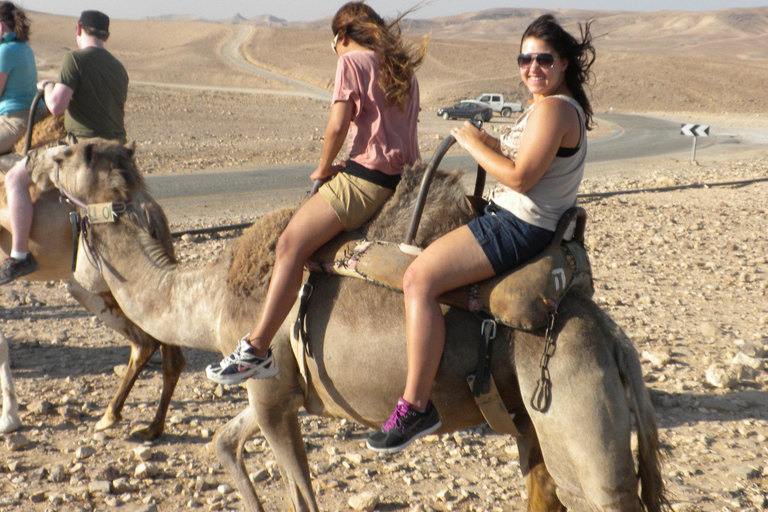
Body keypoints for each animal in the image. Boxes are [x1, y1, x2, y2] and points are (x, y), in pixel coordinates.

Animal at [0, 142, 185, 438]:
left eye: (62, 157)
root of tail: (150, 209)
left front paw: (8, 418)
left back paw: (115, 418)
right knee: (158, 346)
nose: (31, 160)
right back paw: (147, 427)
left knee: (149, 341)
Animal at [48, 140, 664, 512]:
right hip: (534, 421)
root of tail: (613, 340)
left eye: (76, 151)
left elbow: (302, 494)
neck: (213, 297)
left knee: (602, 491)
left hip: (572, 411)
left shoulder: (270, 393)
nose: (45, 153)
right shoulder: (279, 390)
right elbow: (225, 443)